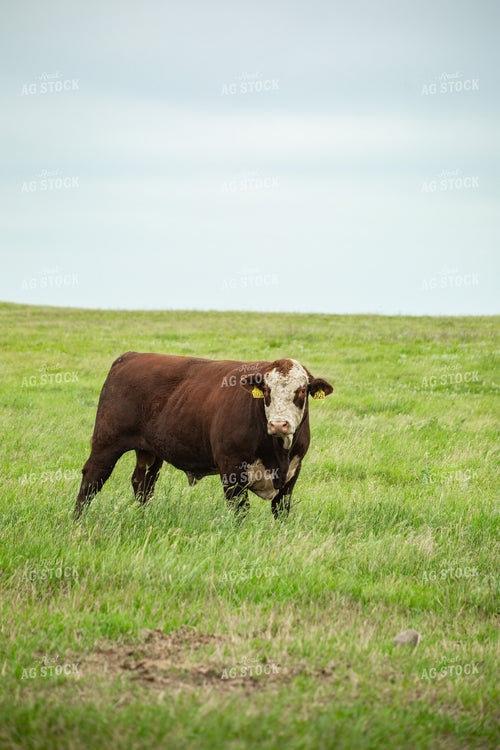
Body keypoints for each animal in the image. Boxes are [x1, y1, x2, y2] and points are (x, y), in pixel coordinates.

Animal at [74, 353, 333, 520]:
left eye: (302, 391)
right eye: (267, 390)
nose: (279, 424)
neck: (278, 453)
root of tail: (130, 356)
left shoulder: (292, 473)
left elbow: (281, 511)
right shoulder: (231, 470)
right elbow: (240, 511)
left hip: (150, 451)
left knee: (143, 484)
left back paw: (142, 517)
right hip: (106, 442)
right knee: (93, 479)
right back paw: (77, 520)